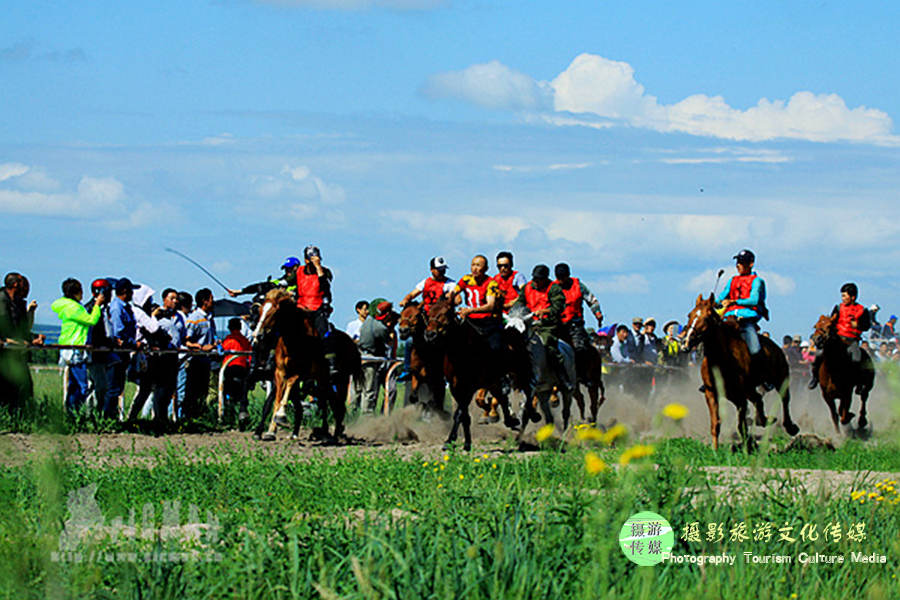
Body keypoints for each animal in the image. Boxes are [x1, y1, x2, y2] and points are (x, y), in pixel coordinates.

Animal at [253, 290, 352, 440]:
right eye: (260, 311)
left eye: (275, 312)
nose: (257, 334)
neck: (294, 340)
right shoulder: (280, 373)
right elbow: (275, 400)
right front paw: (270, 430)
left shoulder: (300, 373)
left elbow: (288, 387)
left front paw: (281, 416)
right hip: (323, 380)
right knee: (327, 402)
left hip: (339, 380)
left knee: (334, 404)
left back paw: (332, 432)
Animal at [424, 296, 524, 450]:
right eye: (429, 313)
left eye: (446, 312)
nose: (430, 334)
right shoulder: (455, 387)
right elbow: (464, 415)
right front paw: (465, 442)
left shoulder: (469, 387)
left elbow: (460, 413)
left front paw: (451, 440)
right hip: (492, 381)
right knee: (501, 396)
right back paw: (509, 420)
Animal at [684, 292, 800, 452]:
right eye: (690, 315)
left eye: (707, 317)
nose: (686, 342)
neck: (721, 359)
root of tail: (776, 347)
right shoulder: (711, 393)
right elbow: (716, 424)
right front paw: (715, 450)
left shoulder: (741, 396)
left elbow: (741, 426)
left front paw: (747, 448)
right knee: (758, 399)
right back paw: (763, 420)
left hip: (780, 378)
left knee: (784, 398)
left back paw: (790, 427)